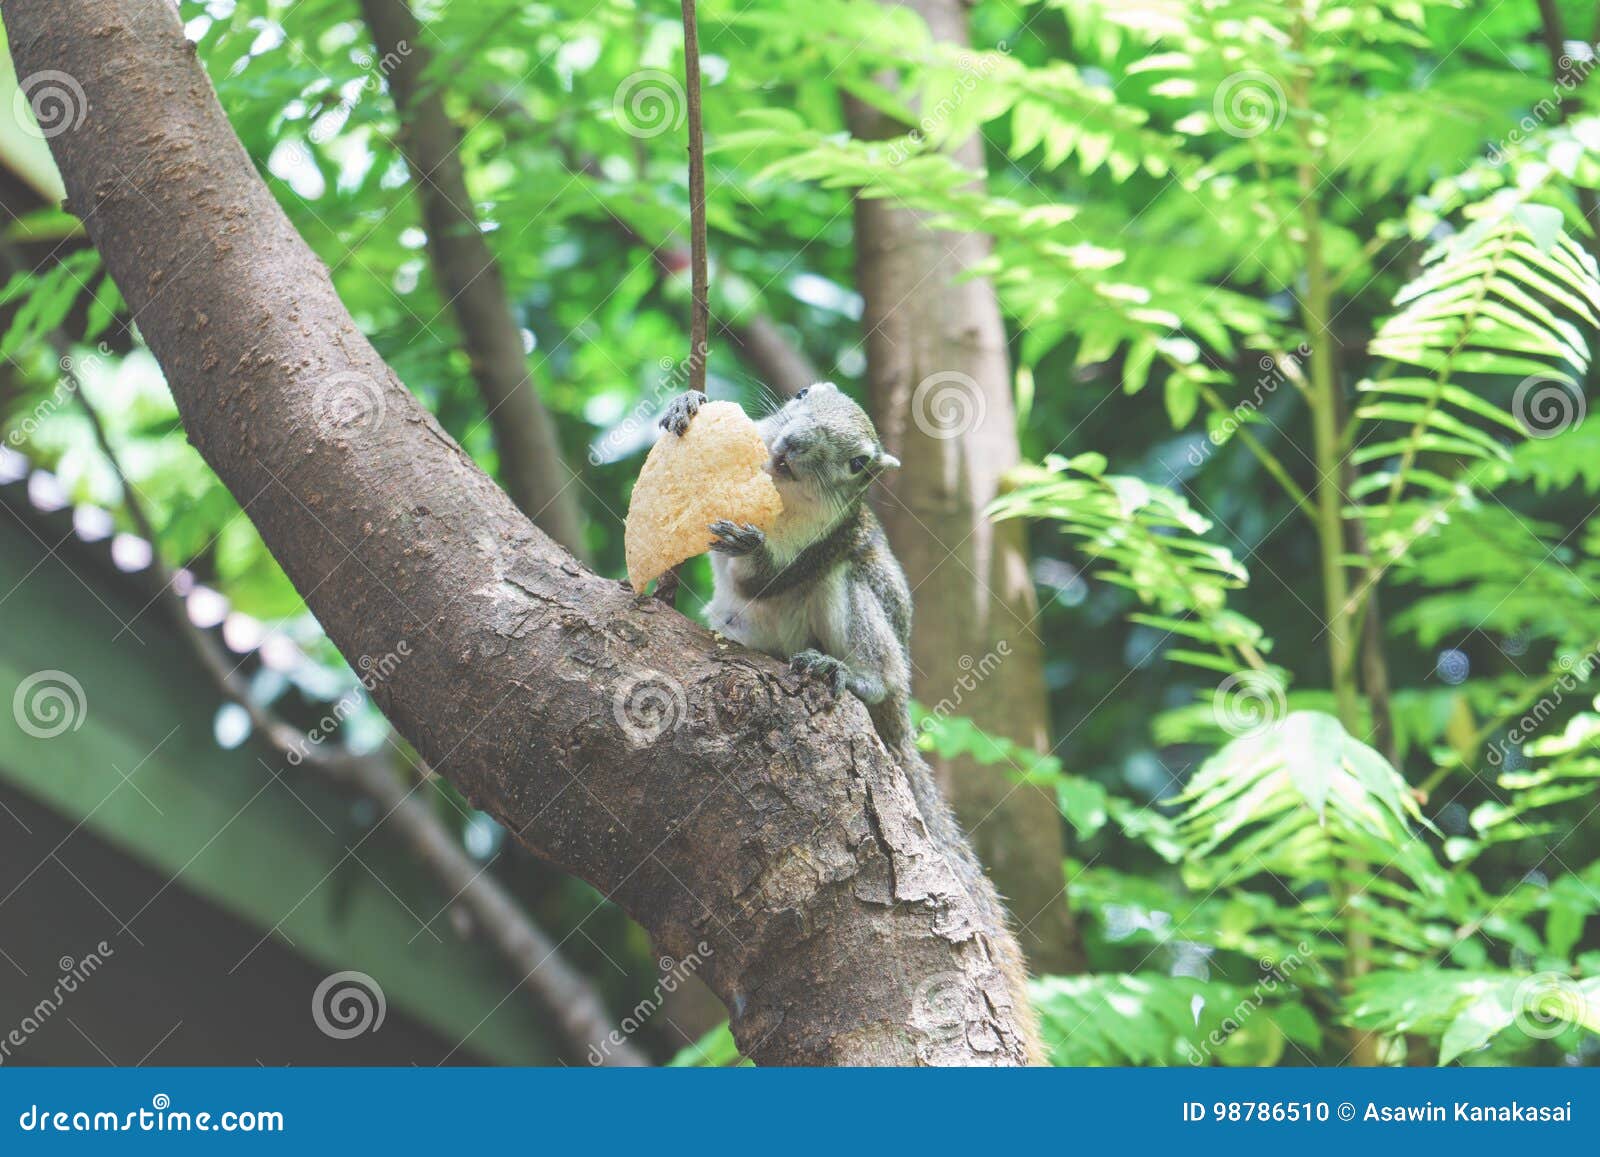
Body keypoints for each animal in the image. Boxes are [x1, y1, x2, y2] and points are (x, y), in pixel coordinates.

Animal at [660, 383, 1043, 1063]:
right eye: (800, 396)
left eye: (858, 463)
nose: (790, 444)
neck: (785, 493)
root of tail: (897, 721)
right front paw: (687, 403)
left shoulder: (826, 543)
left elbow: (765, 576)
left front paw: (754, 548)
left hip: (861, 601)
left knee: (871, 651)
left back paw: (850, 676)